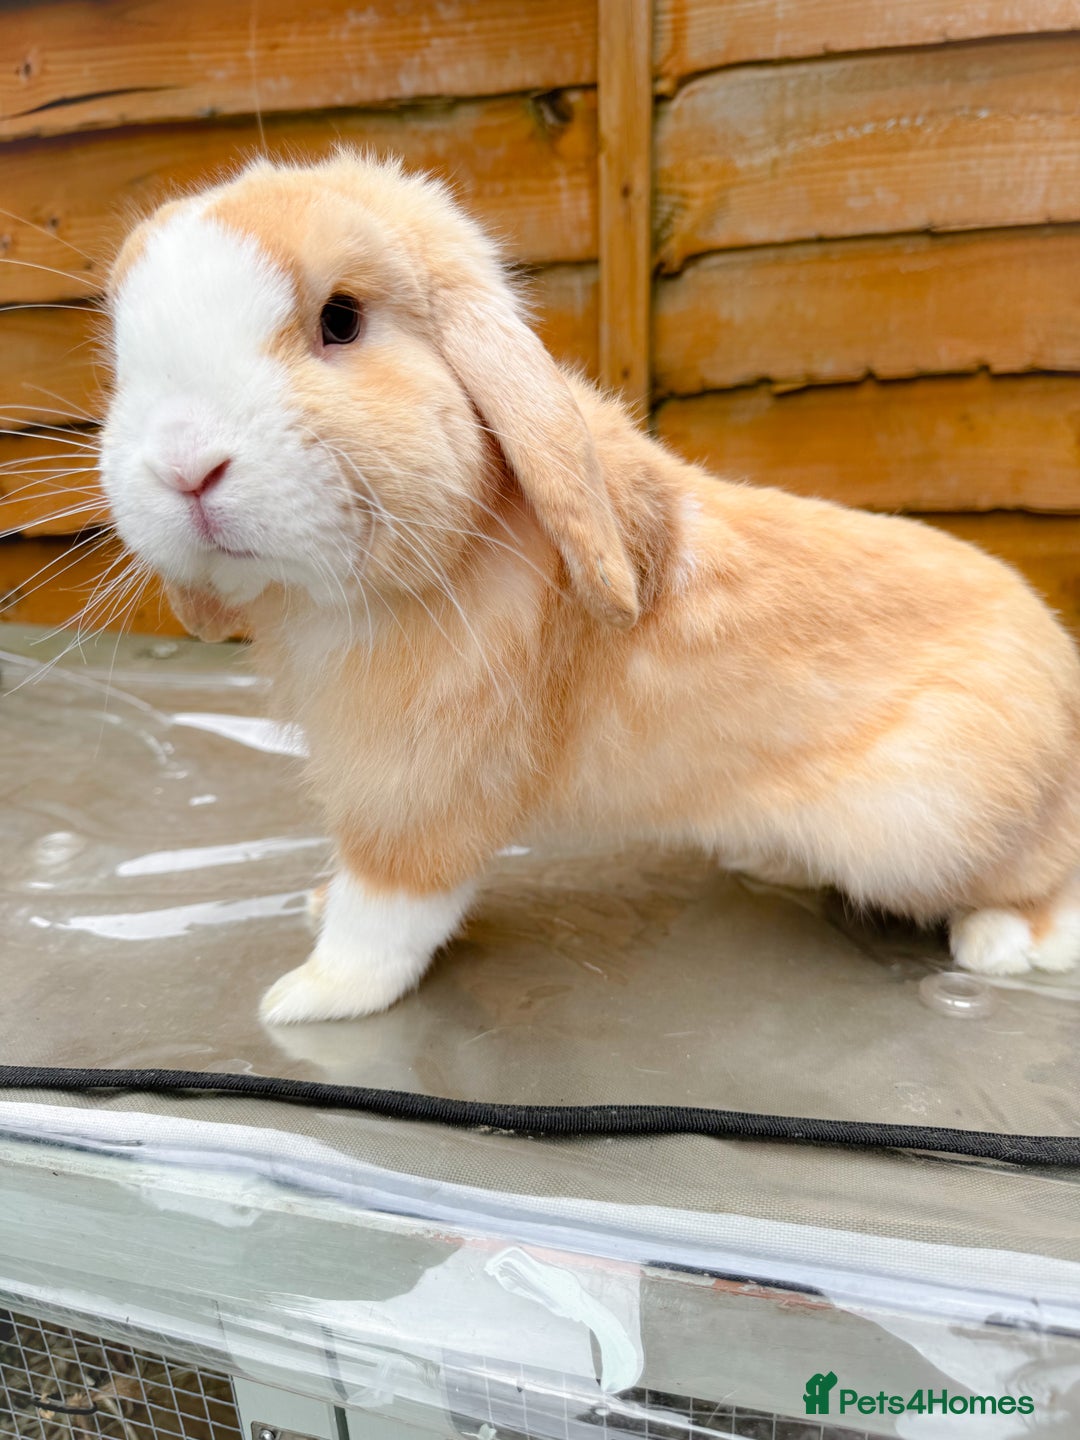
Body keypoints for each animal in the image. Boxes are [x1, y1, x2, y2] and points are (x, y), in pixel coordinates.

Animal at [99, 151, 1080, 1023]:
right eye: (123, 355)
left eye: (341, 320)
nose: (184, 465)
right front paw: (314, 904)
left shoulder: (418, 793)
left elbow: (386, 914)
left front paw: (310, 997)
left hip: (928, 827)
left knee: (1051, 872)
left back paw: (1009, 942)